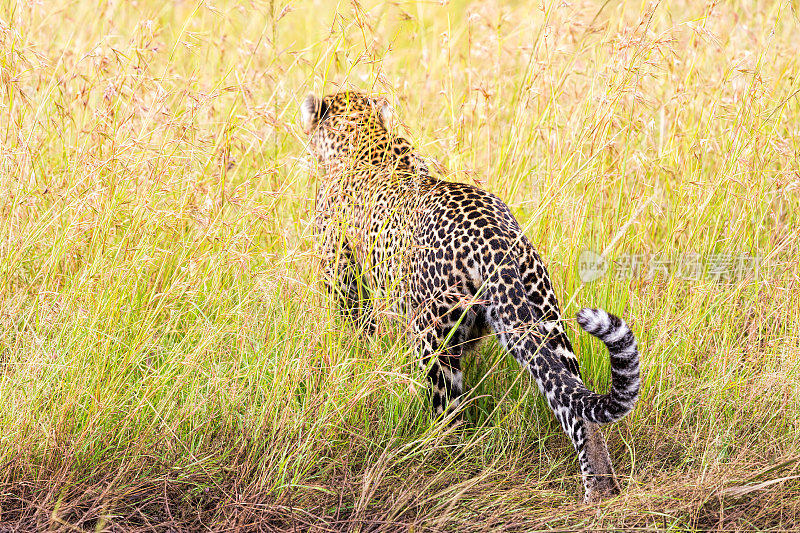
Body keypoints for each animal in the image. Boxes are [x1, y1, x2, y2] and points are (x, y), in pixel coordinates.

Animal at [296, 89, 640, 500]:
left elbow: (355, 326)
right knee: (577, 406)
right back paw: (600, 492)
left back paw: (433, 456)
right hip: (544, 318)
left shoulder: (341, 271)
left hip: (432, 337)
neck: (362, 136)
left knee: (447, 407)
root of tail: (491, 236)